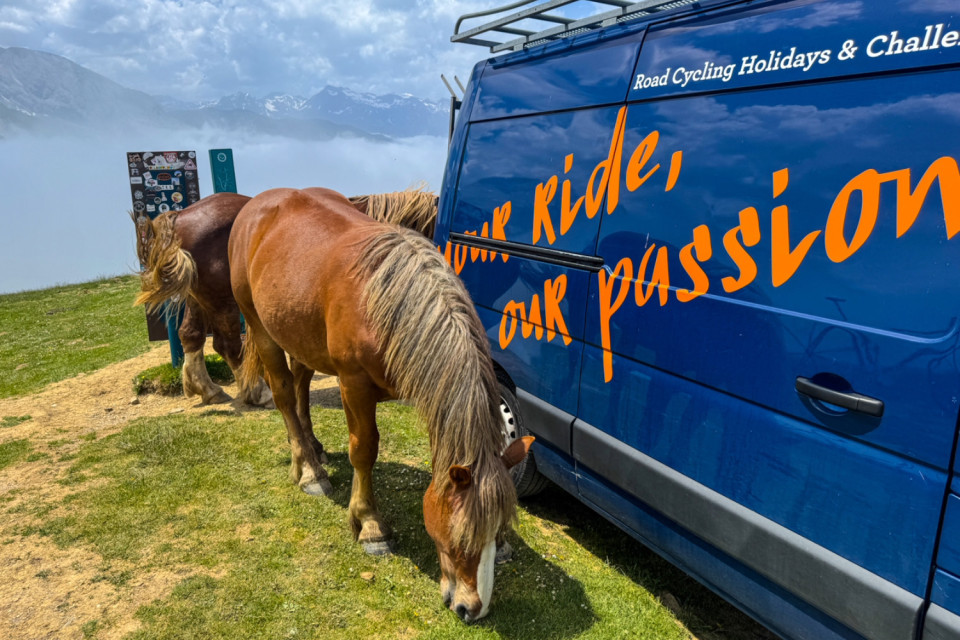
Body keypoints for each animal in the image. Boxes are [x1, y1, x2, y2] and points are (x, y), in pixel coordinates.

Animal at [133, 187, 438, 408]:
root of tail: (182, 214)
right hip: (222, 300)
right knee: (227, 344)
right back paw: (257, 392)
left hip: (200, 298)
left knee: (191, 334)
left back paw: (207, 389)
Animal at [230, 187, 532, 621]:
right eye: (460, 538)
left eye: (499, 529)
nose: (472, 609)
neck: (389, 302)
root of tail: (255, 205)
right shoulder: (353, 383)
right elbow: (364, 450)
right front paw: (370, 526)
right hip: (259, 325)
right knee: (285, 392)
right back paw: (308, 470)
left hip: (299, 330)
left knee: (301, 382)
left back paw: (313, 450)